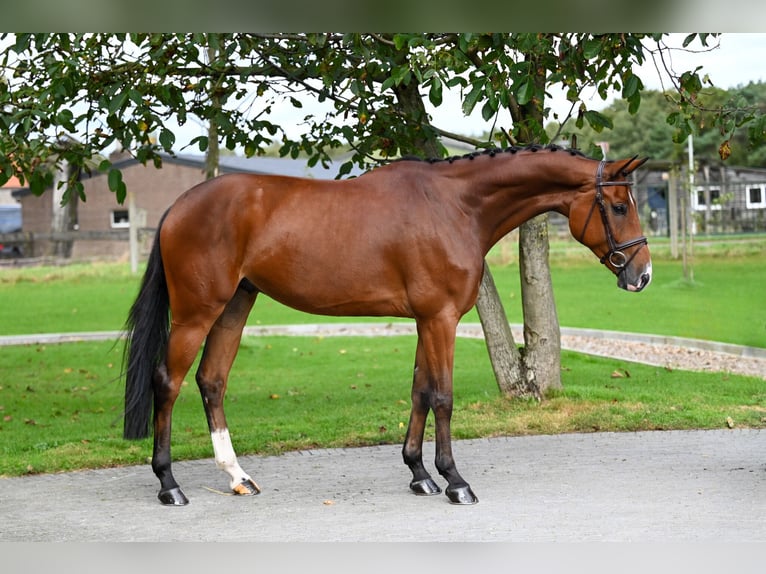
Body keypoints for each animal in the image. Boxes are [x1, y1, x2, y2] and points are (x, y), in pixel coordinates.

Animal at [123, 145, 652, 508]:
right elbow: (443, 397)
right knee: (167, 383)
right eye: (619, 206)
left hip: (236, 305)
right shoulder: (440, 319)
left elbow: (420, 392)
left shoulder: (425, 320)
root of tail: (180, 205)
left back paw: (237, 477)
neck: (456, 205)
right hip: (197, 313)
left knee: (212, 381)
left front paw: (420, 474)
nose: (641, 275)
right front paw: (455, 481)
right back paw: (169, 485)